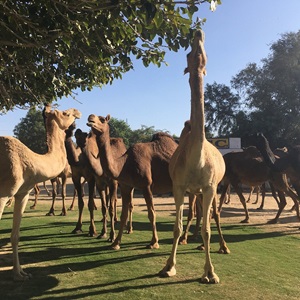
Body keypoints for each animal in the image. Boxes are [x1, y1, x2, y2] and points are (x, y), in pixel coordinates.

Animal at [0, 106, 81, 282]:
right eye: (65, 113)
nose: (77, 112)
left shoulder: (22, 193)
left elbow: (15, 235)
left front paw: (20, 274)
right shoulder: (2, 195)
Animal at [86, 115, 178, 251]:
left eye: (102, 119)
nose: (90, 118)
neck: (124, 164)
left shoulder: (146, 185)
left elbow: (151, 213)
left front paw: (154, 243)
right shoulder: (126, 186)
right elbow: (123, 215)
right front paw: (115, 243)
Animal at [158, 28, 229, 284]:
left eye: (205, 53)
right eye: (188, 54)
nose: (198, 31)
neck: (197, 160)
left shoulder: (209, 187)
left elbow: (208, 228)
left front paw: (211, 273)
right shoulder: (179, 187)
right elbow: (177, 226)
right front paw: (168, 266)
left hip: (214, 188)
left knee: (213, 215)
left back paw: (223, 246)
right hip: (193, 191)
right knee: (196, 215)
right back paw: (194, 241)